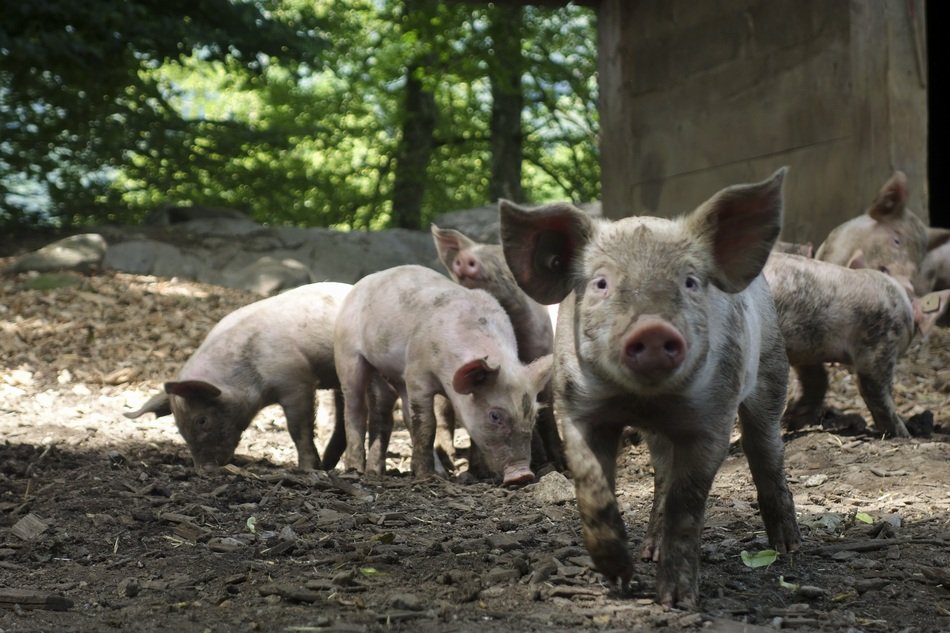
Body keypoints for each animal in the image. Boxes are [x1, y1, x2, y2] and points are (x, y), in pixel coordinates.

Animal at [124, 282, 357, 471]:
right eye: (179, 427)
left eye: (202, 420)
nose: (203, 469)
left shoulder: (297, 380)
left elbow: (298, 428)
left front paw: (306, 469)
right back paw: (328, 467)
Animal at [333, 264, 554, 485]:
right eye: (495, 416)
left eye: (534, 415)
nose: (523, 474)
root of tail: (367, 280)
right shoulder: (417, 372)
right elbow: (427, 423)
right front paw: (426, 476)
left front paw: (479, 474)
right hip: (347, 352)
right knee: (355, 408)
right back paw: (357, 470)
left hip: (389, 375)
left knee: (396, 415)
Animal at [431, 224, 566, 473]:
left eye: (502, 259)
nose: (465, 257)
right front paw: (476, 473)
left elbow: (546, 413)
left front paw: (559, 465)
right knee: (443, 418)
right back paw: (449, 461)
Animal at [499, 168, 801, 607]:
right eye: (601, 283)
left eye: (690, 282)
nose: (653, 329)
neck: (644, 401)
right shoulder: (576, 406)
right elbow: (592, 487)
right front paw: (620, 578)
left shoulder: (714, 414)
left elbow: (687, 503)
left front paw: (677, 601)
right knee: (661, 475)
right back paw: (648, 552)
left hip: (772, 369)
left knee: (765, 450)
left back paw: (788, 548)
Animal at [765, 252, 950, 437]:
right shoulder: (880, 341)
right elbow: (875, 390)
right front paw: (903, 435)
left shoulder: (808, 348)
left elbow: (817, 379)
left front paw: (791, 422)